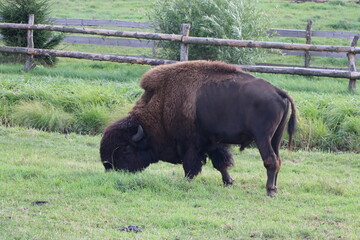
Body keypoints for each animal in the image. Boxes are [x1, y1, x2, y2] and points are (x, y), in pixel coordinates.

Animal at [100, 60, 296, 197]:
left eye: (125, 150)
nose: (111, 169)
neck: (161, 106)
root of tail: (278, 92)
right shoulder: (212, 142)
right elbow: (220, 163)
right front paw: (229, 181)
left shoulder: (190, 145)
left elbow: (191, 166)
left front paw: (186, 181)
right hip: (276, 137)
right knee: (278, 160)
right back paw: (275, 187)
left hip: (262, 137)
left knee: (270, 160)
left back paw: (270, 191)